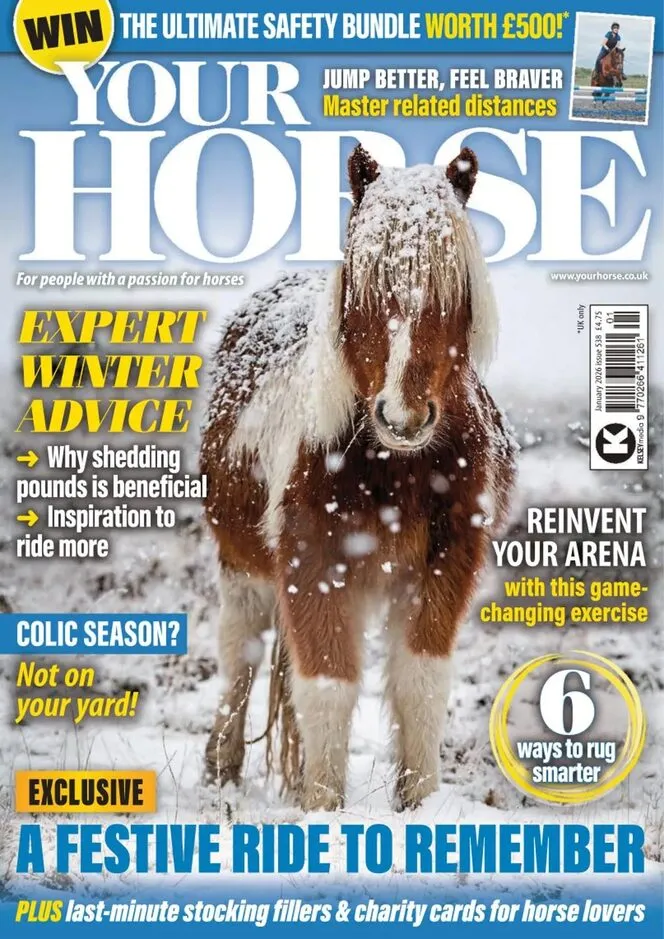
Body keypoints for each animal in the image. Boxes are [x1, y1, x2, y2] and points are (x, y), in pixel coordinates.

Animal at [200, 144, 518, 812]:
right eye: (364, 285)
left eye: (456, 289)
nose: (403, 417)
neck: (394, 469)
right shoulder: (311, 564)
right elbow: (328, 685)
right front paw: (322, 809)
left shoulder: (449, 561)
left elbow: (420, 682)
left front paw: (419, 804)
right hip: (243, 567)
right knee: (240, 654)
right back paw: (221, 770)